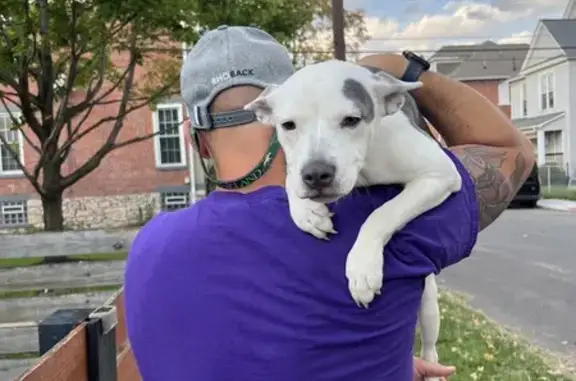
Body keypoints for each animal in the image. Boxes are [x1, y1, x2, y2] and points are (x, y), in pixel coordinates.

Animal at [245, 59, 462, 378]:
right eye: (288, 125)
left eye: (351, 120)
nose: (316, 174)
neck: (365, 168)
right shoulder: (292, 165)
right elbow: (289, 179)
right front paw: (307, 213)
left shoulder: (440, 174)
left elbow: (381, 213)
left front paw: (362, 268)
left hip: (430, 305)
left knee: (430, 346)